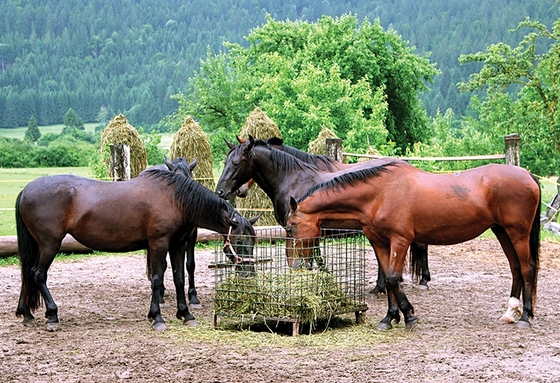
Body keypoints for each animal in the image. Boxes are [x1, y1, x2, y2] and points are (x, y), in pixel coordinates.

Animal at [15, 168, 258, 332]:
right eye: (239, 242)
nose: (249, 274)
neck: (176, 199)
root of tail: (26, 190)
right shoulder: (159, 243)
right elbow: (157, 279)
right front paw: (157, 318)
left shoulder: (178, 244)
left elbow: (179, 277)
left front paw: (185, 314)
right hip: (49, 244)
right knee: (38, 274)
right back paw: (52, 315)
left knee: (28, 274)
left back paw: (26, 314)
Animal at [286, 161, 540, 330]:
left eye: (289, 228)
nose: (292, 265)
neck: (380, 193)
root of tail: (528, 175)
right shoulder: (380, 242)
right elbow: (388, 279)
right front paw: (389, 318)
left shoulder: (400, 241)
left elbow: (392, 278)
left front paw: (409, 315)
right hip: (502, 232)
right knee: (516, 269)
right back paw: (511, 313)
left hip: (517, 233)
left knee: (527, 269)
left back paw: (525, 317)